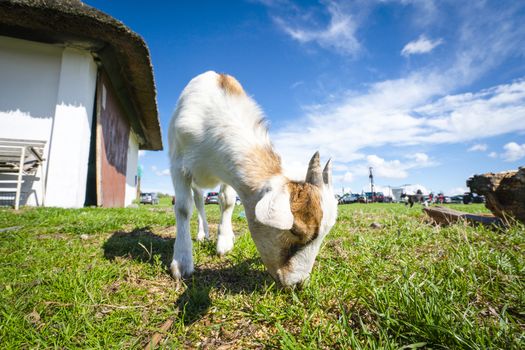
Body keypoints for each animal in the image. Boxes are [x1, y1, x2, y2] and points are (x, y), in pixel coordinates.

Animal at [169, 71, 340, 288]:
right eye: (295, 230)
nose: (298, 283)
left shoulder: (228, 172)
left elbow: (227, 202)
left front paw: (224, 243)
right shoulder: (178, 165)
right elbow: (183, 208)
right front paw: (181, 263)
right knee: (198, 202)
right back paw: (202, 234)